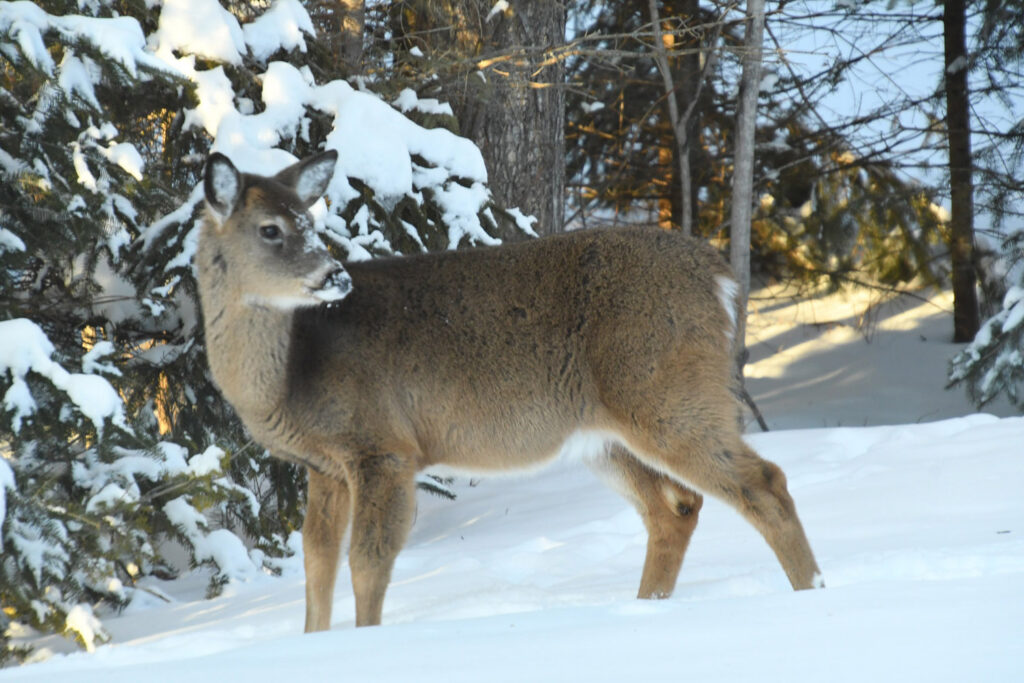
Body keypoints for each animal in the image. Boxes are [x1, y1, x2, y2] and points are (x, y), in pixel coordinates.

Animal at [195, 150, 822, 632]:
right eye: (271, 228)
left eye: (311, 223)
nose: (336, 276)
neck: (286, 376)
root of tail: (721, 278)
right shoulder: (323, 465)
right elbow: (317, 562)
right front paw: (314, 641)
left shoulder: (383, 446)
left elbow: (368, 560)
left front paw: (365, 642)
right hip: (609, 432)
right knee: (675, 509)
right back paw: (648, 607)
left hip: (666, 391)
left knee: (764, 482)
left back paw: (813, 595)